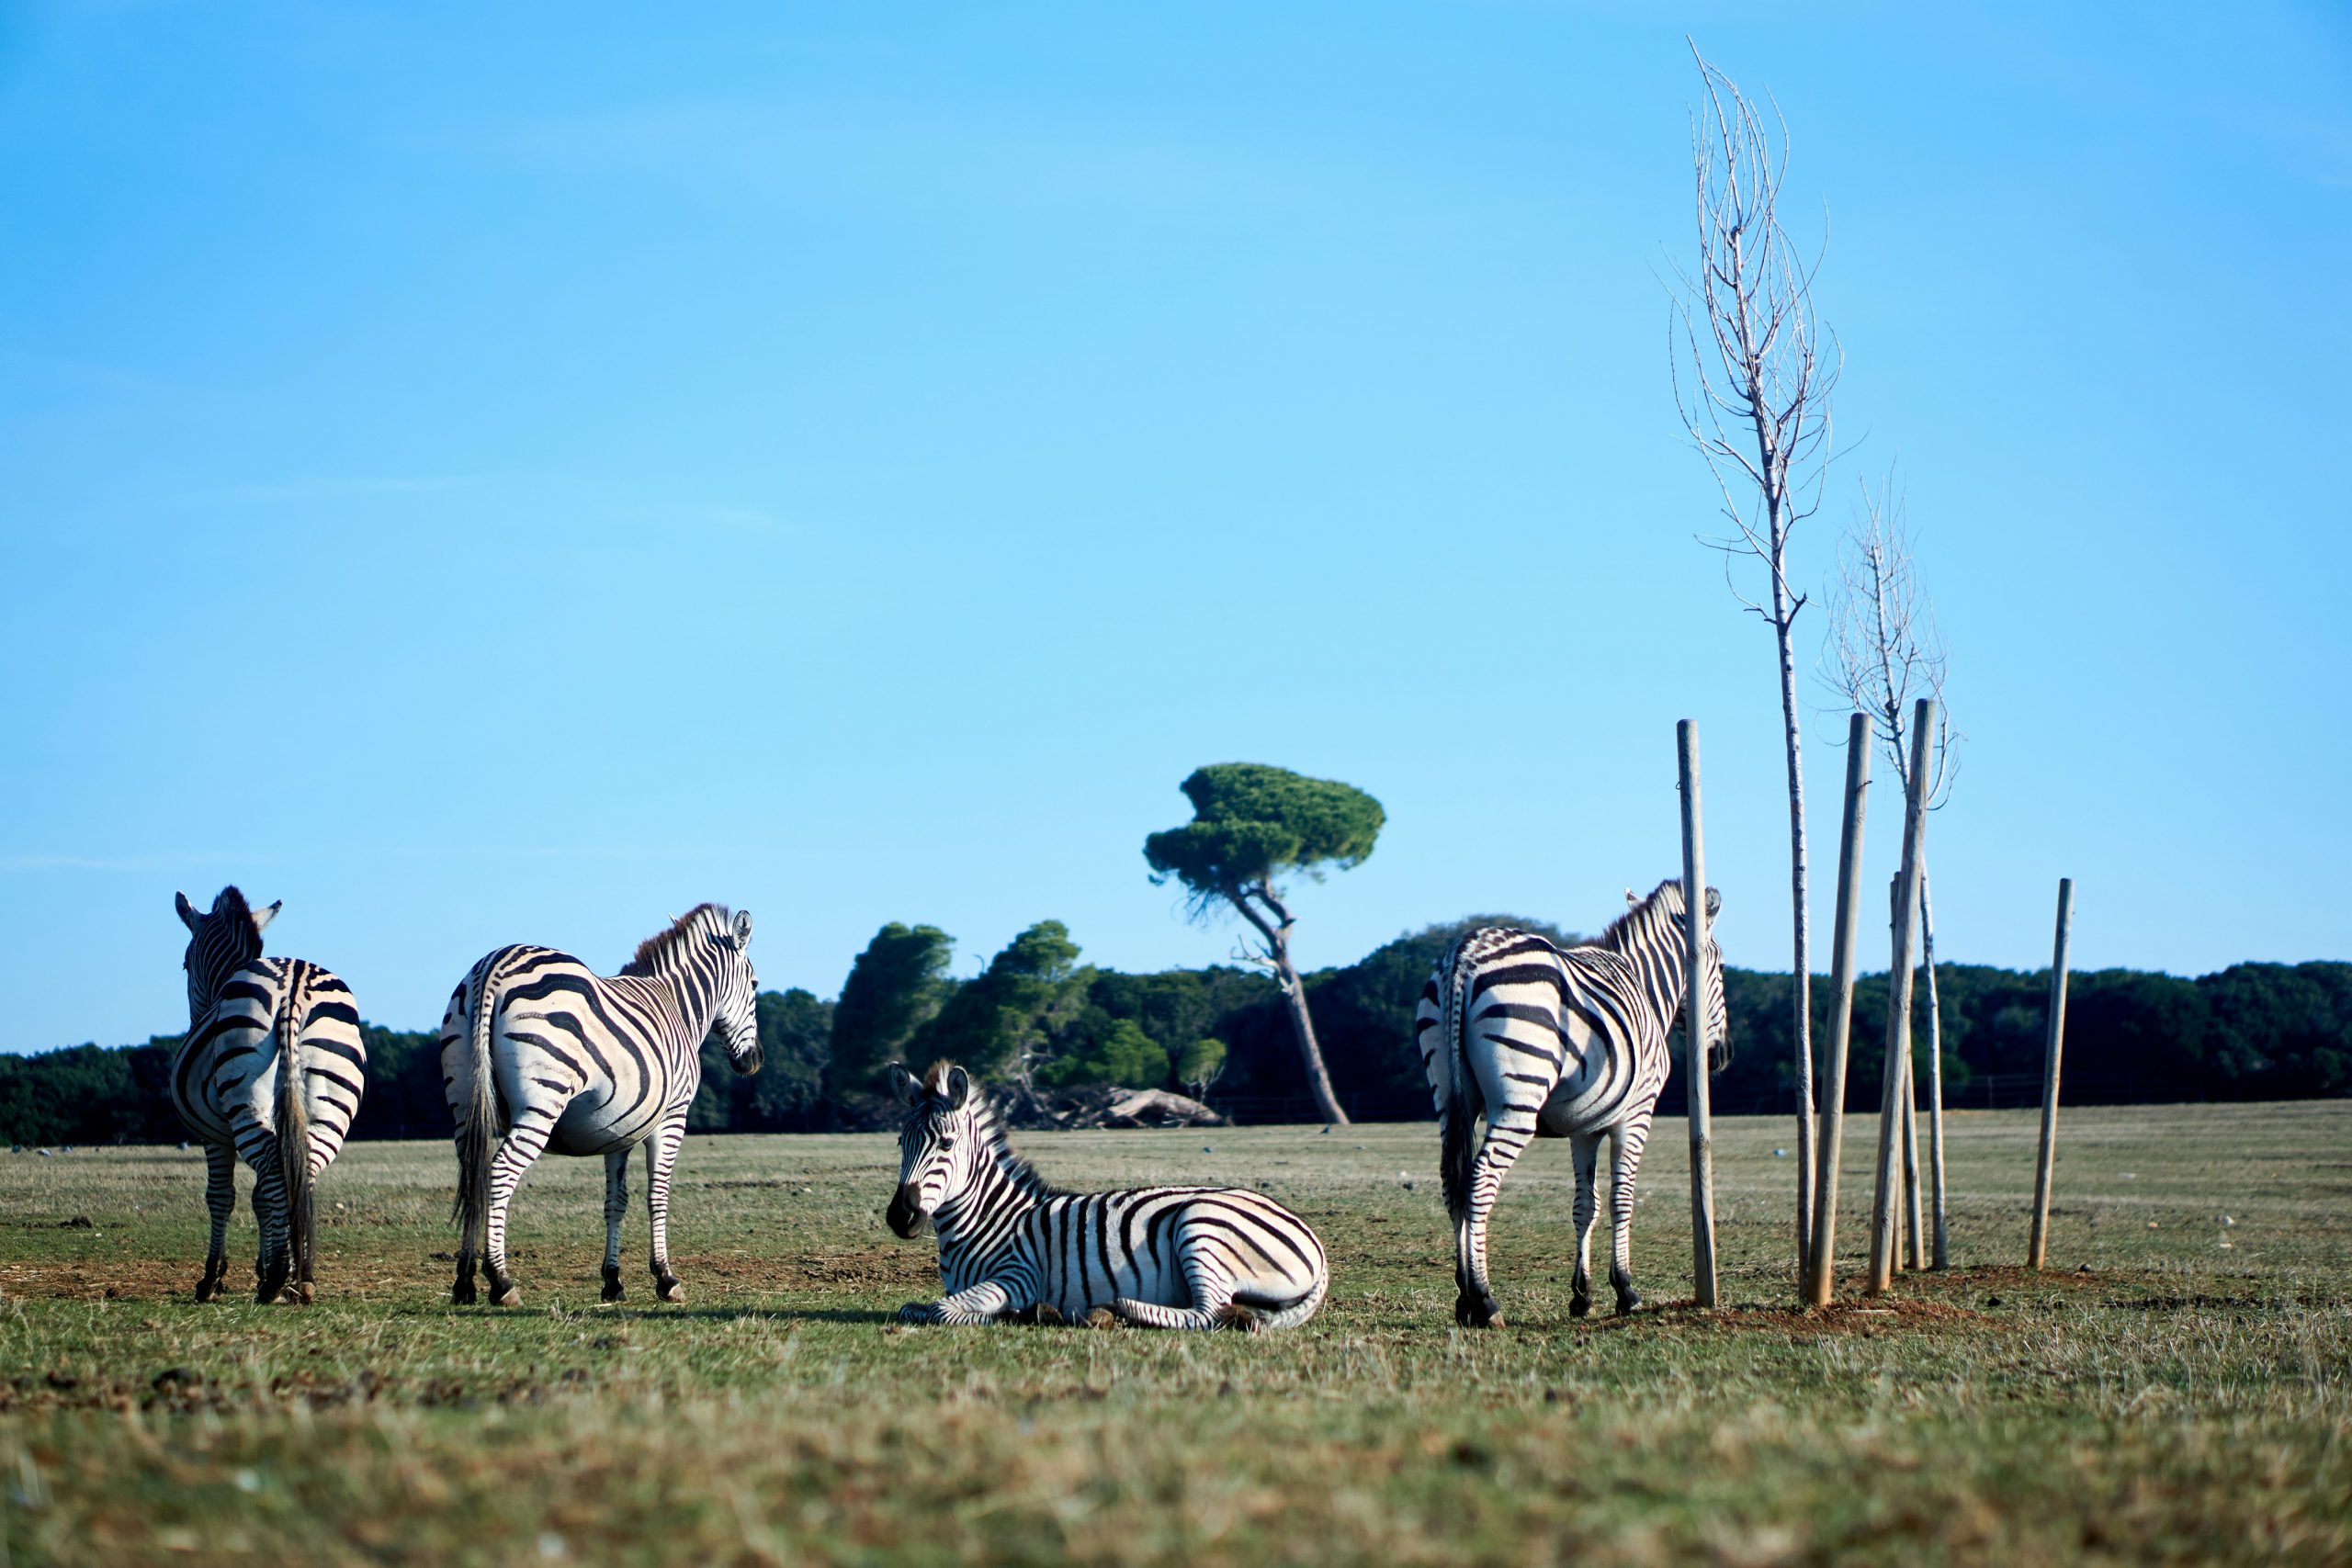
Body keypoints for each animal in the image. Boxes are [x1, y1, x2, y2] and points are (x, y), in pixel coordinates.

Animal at [171, 888, 364, 1306]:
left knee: (276, 1172)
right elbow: (262, 1196)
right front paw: (268, 1268)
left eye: (185, 964)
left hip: (246, 1104)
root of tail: (293, 986)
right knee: (302, 1172)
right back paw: (300, 1277)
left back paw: (277, 1278)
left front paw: (212, 1279)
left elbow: (222, 1196)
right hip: (330, 1106)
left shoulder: (214, 1136)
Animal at [442, 902, 762, 1306]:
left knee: (473, 1175)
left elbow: (616, 1201)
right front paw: (666, 1278)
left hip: (463, 1106)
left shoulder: (619, 1127)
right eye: (755, 985)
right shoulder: (672, 1117)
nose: (754, 1060)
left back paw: (464, 1282)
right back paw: (501, 1281)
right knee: (499, 1172)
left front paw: (613, 1280)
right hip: (541, 1104)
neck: (677, 1005)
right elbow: (658, 1195)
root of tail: (494, 966)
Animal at [884, 1062, 1336, 1335]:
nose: (900, 1217)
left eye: (945, 1144)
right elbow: (914, 1308)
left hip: (1202, 1226)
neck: (987, 1220)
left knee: (1208, 1312)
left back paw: (1117, 1310)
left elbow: (942, 1311)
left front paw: (1012, 1312)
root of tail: (1312, 1238)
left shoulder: (1019, 1275)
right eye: (900, 1143)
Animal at [1411, 884, 1731, 1325]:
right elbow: (1620, 1200)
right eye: (1720, 968)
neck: (1645, 985)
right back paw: (1484, 1299)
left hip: (1448, 1095)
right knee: (1479, 1181)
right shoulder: (1636, 1115)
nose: (1721, 1055)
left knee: (1450, 1181)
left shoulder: (1585, 1127)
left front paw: (1582, 1296)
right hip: (1518, 1102)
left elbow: (1586, 1205)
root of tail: (1465, 954)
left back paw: (1463, 1298)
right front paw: (1625, 1290)